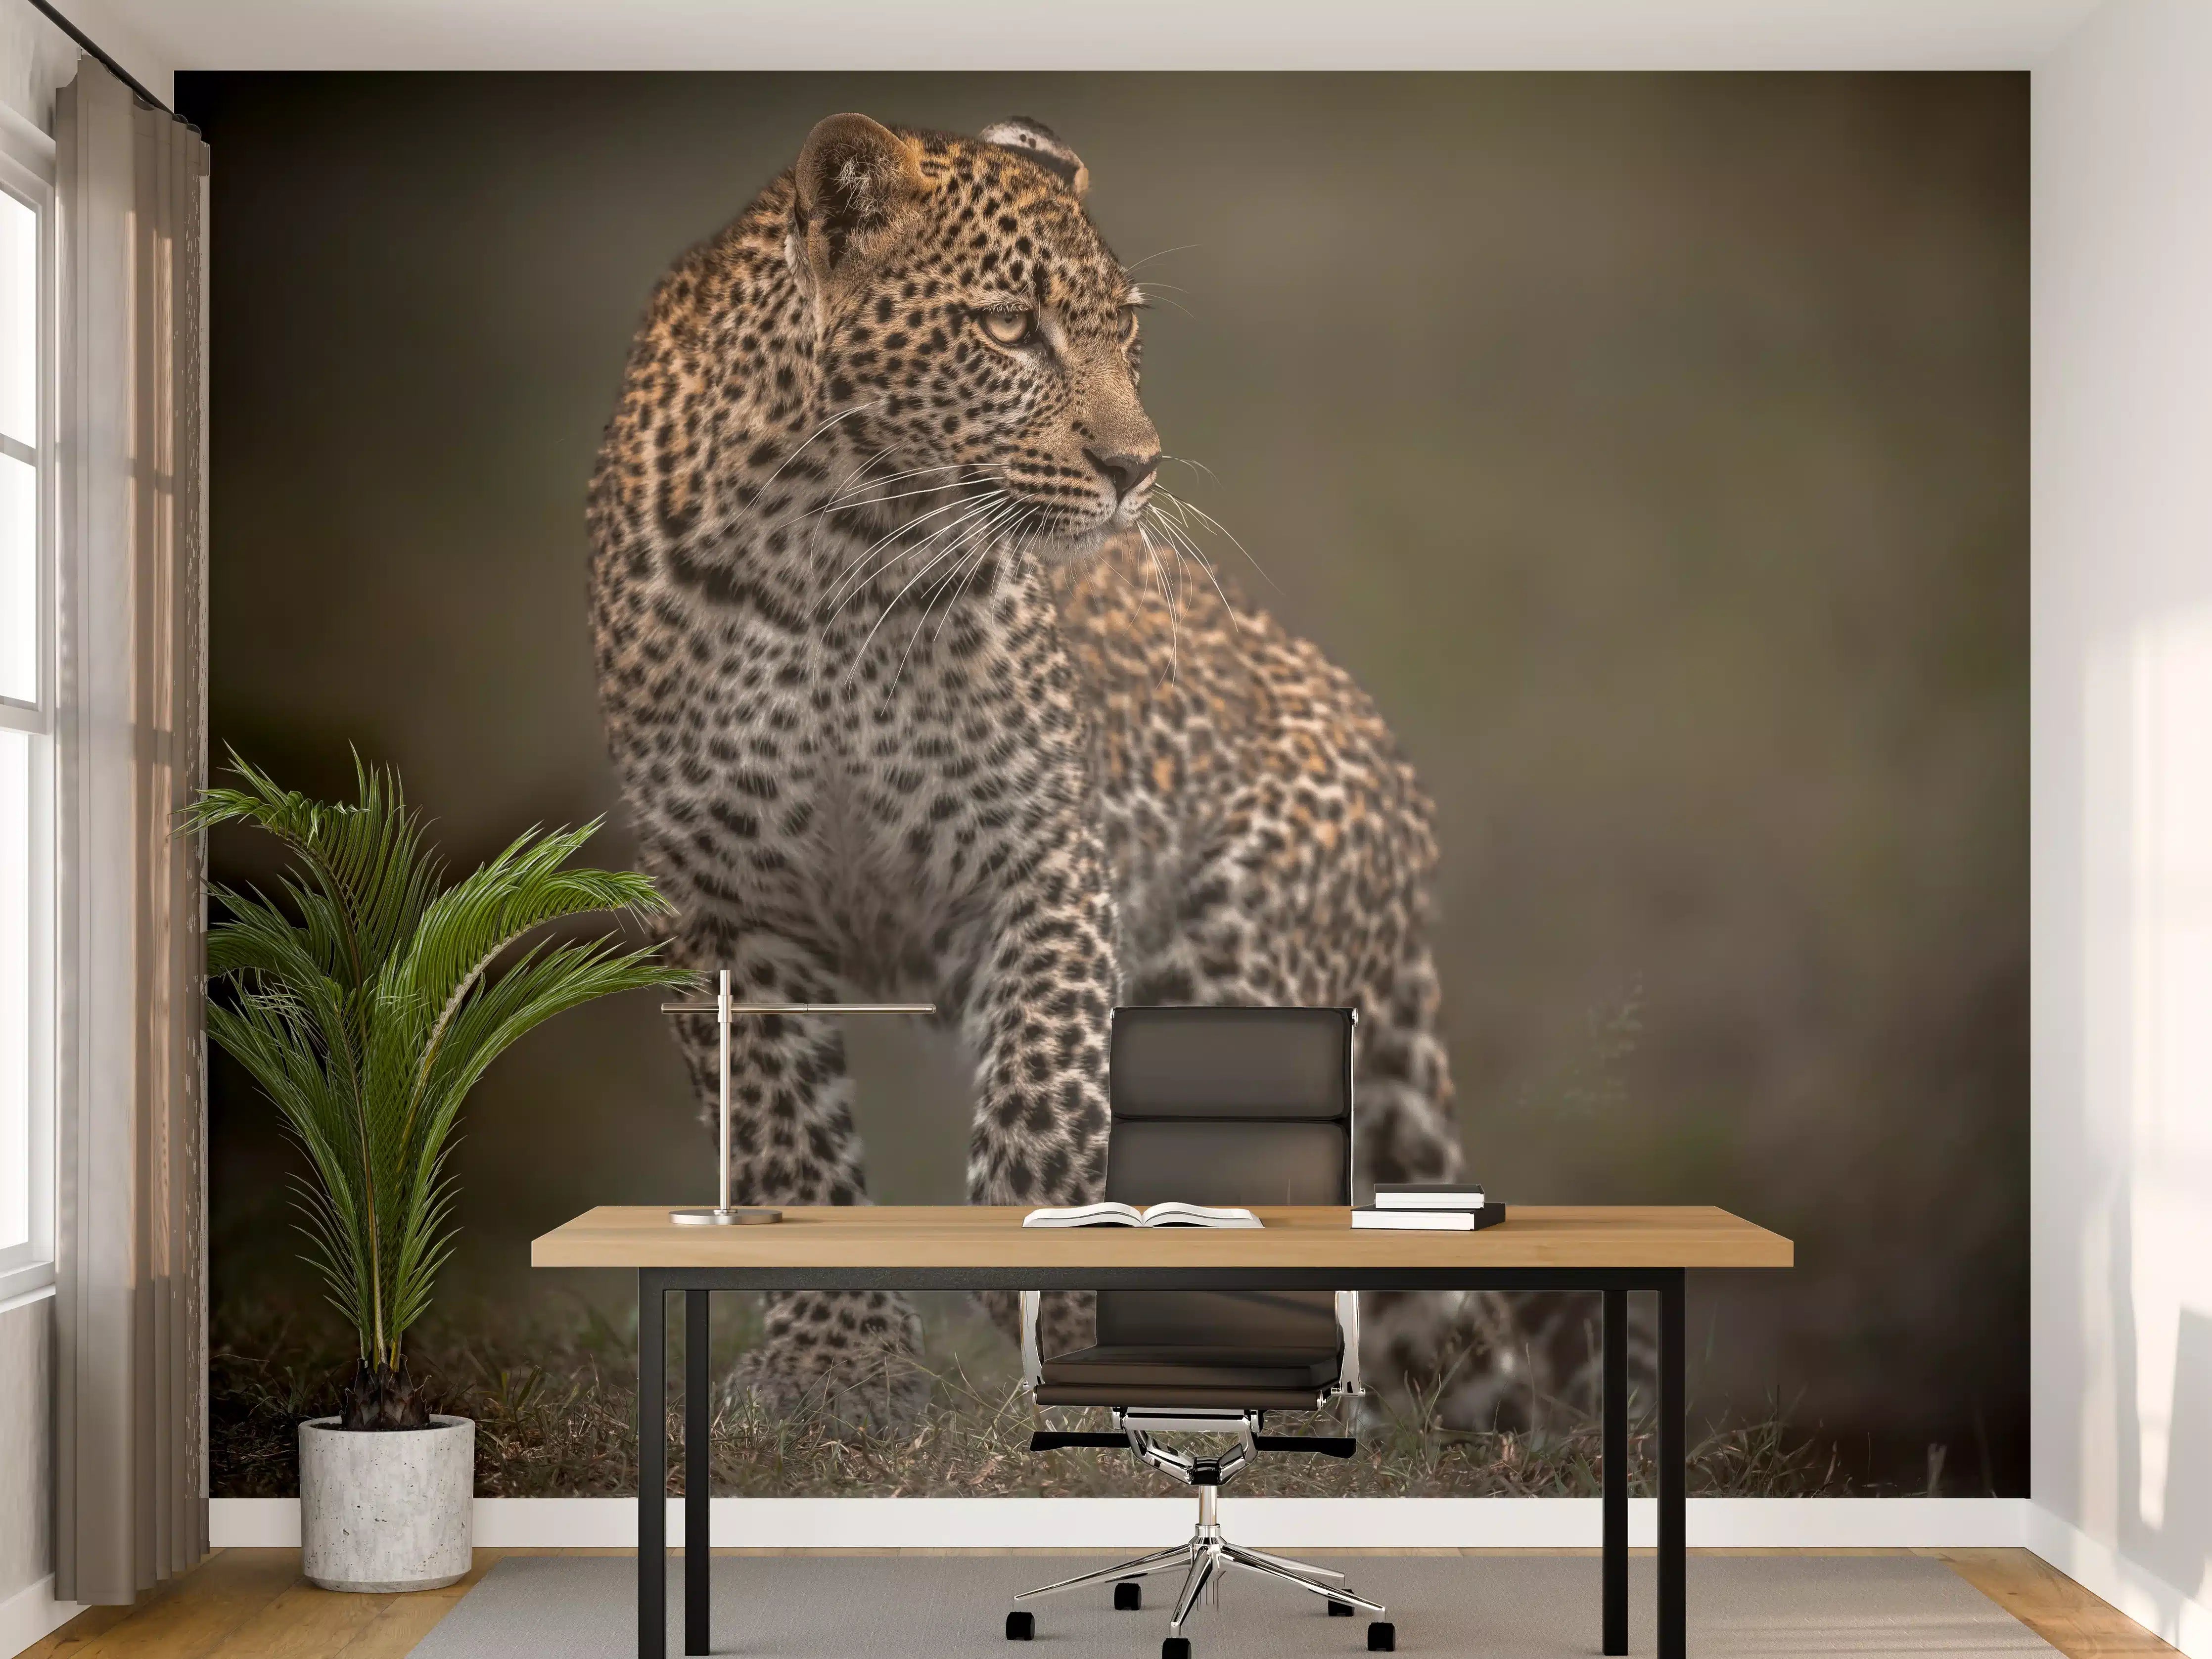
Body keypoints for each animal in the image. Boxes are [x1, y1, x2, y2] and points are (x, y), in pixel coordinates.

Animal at [586, 111, 1588, 1433]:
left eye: (1126, 335)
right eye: (1012, 327)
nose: (1136, 467)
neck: (832, 556)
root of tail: (1399, 792)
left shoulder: (1038, 853)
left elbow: (1045, 1086)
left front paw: (1042, 1256)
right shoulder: (719, 904)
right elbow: (775, 1137)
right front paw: (834, 1366)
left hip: (1230, 967)